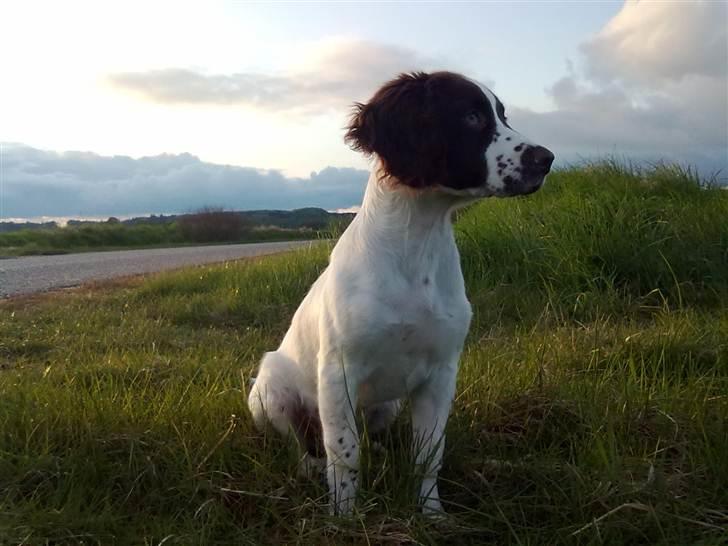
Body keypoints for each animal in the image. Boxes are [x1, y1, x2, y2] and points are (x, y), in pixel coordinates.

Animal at [247, 70, 556, 512]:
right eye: (472, 117)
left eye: (502, 115)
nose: (547, 159)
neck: (417, 247)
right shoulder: (338, 371)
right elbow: (343, 452)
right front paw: (344, 516)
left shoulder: (442, 373)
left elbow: (428, 453)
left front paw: (431, 513)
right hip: (270, 391)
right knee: (299, 443)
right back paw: (307, 466)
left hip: (387, 406)